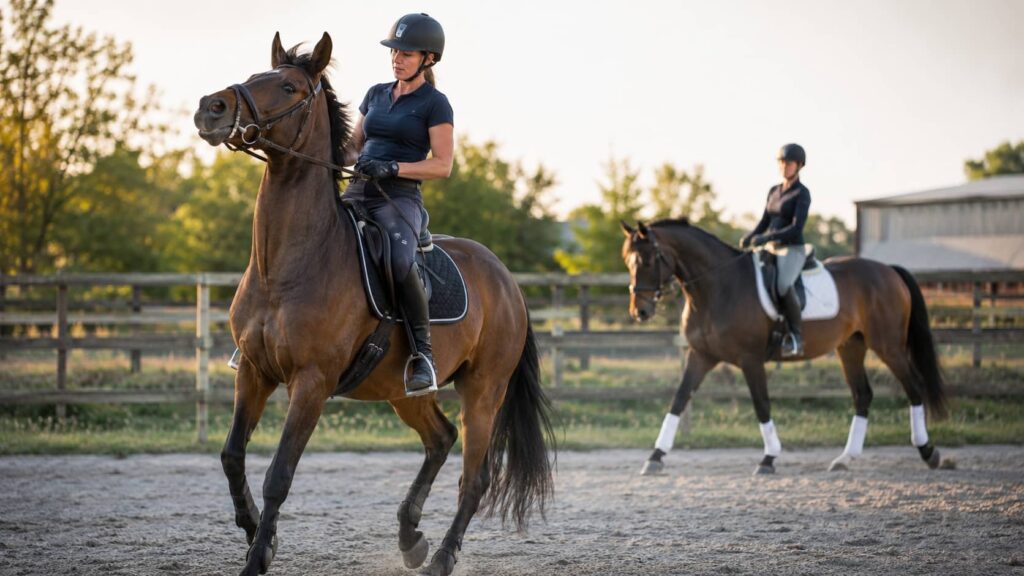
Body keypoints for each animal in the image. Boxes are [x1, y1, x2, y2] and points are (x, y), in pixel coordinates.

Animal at [193, 33, 554, 576]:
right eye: (257, 75)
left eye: (288, 86)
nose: (210, 109)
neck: (289, 264)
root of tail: (506, 280)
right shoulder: (253, 371)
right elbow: (232, 456)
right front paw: (260, 536)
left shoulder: (312, 383)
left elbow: (280, 474)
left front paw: (257, 558)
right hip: (402, 392)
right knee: (440, 439)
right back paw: (411, 539)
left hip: (484, 390)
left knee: (475, 478)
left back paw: (441, 556)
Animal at [619, 219, 949, 476]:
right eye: (628, 261)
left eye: (648, 260)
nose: (640, 311)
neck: (716, 288)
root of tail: (888, 271)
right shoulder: (701, 355)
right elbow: (678, 399)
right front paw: (655, 457)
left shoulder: (750, 359)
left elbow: (761, 404)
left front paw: (768, 458)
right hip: (850, 346)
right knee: (862, 395)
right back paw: (845, 459)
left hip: (888, 345)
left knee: (914, 387)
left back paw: (929, 452)